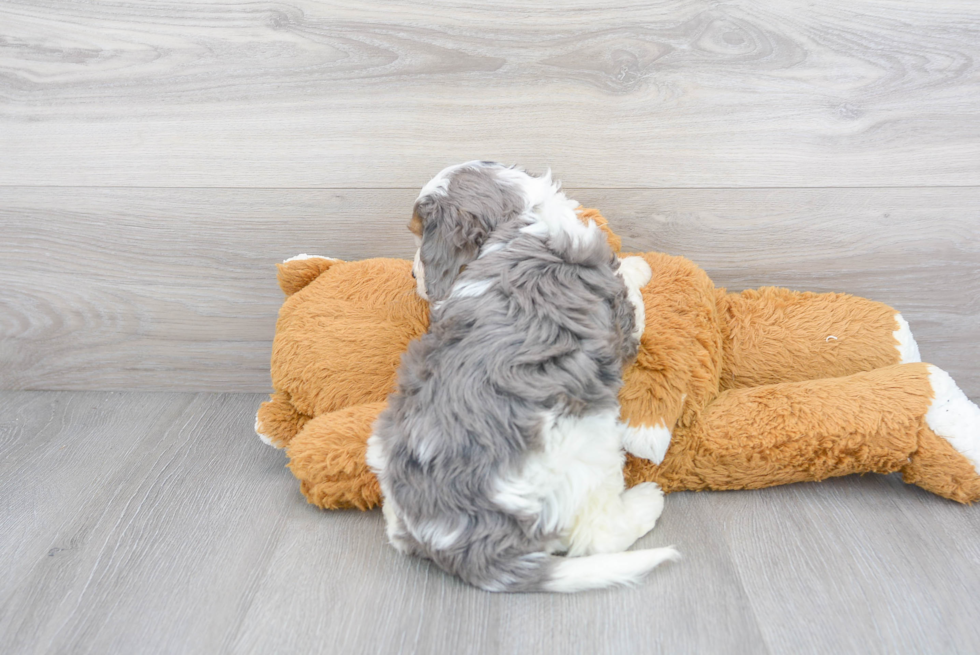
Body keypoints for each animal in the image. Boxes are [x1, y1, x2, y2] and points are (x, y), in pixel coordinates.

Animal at [364, 161, 676, 592]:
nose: (413, 276)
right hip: (587, 440)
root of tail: (455, 541)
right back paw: (647, 500)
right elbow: (631, 291)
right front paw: (638, 266)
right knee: (597, 536)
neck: (519, 220)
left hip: (382, 441)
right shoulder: (622, 316)